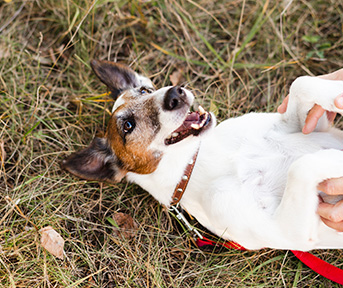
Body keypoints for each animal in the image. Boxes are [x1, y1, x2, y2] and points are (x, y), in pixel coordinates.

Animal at [62, 59, 343, 251]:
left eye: (144, 90)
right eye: (128, 126)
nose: (175, 93)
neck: (205, 160)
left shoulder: (313, 125)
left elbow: (301, 83)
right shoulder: (288, 230)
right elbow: (302, 167)